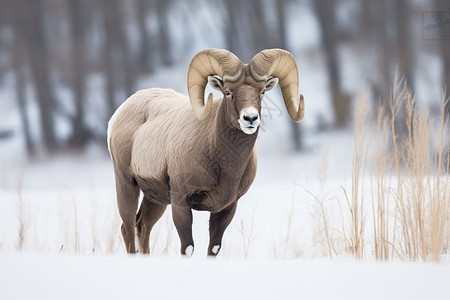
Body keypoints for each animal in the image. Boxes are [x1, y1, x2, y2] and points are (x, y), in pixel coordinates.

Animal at [107, 48, 304, 256]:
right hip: (127, 185)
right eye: (228, 92)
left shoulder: (226, 209)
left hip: (155, 199)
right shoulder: (181, 203)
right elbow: (188, 248)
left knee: (142, 226)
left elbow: (213, 248)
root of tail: (120, 113)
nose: (250, 118)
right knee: (127, 229)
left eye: (262, 92)